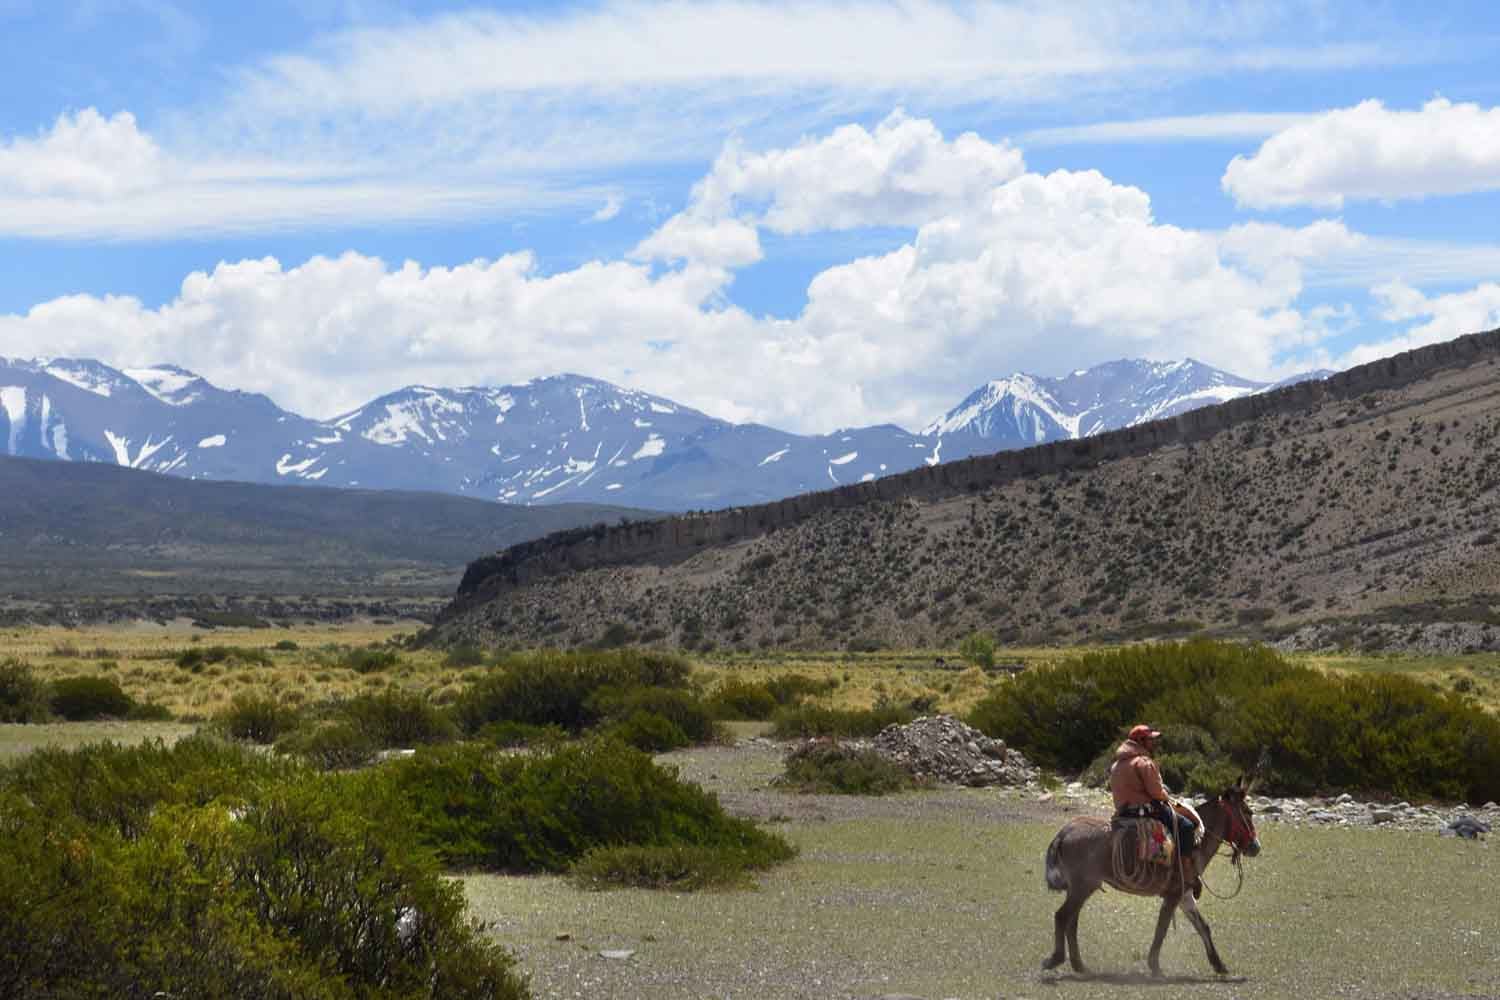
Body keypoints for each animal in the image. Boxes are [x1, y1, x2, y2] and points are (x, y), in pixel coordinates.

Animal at [1038, 773, 1260, 977]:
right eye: (1248, 812)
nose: (1255, 847)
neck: (1197, 841)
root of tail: (1064, 833)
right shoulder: (1173, 895)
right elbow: (1162, 929)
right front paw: (1155, 966)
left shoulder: (1184, 894)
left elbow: (1202, 926)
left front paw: (1219, 965)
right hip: (1082, 887)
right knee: (1062, 916)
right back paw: (1055, 959)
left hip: (1081, 888)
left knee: (1071, 920)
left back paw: (1079, 965)